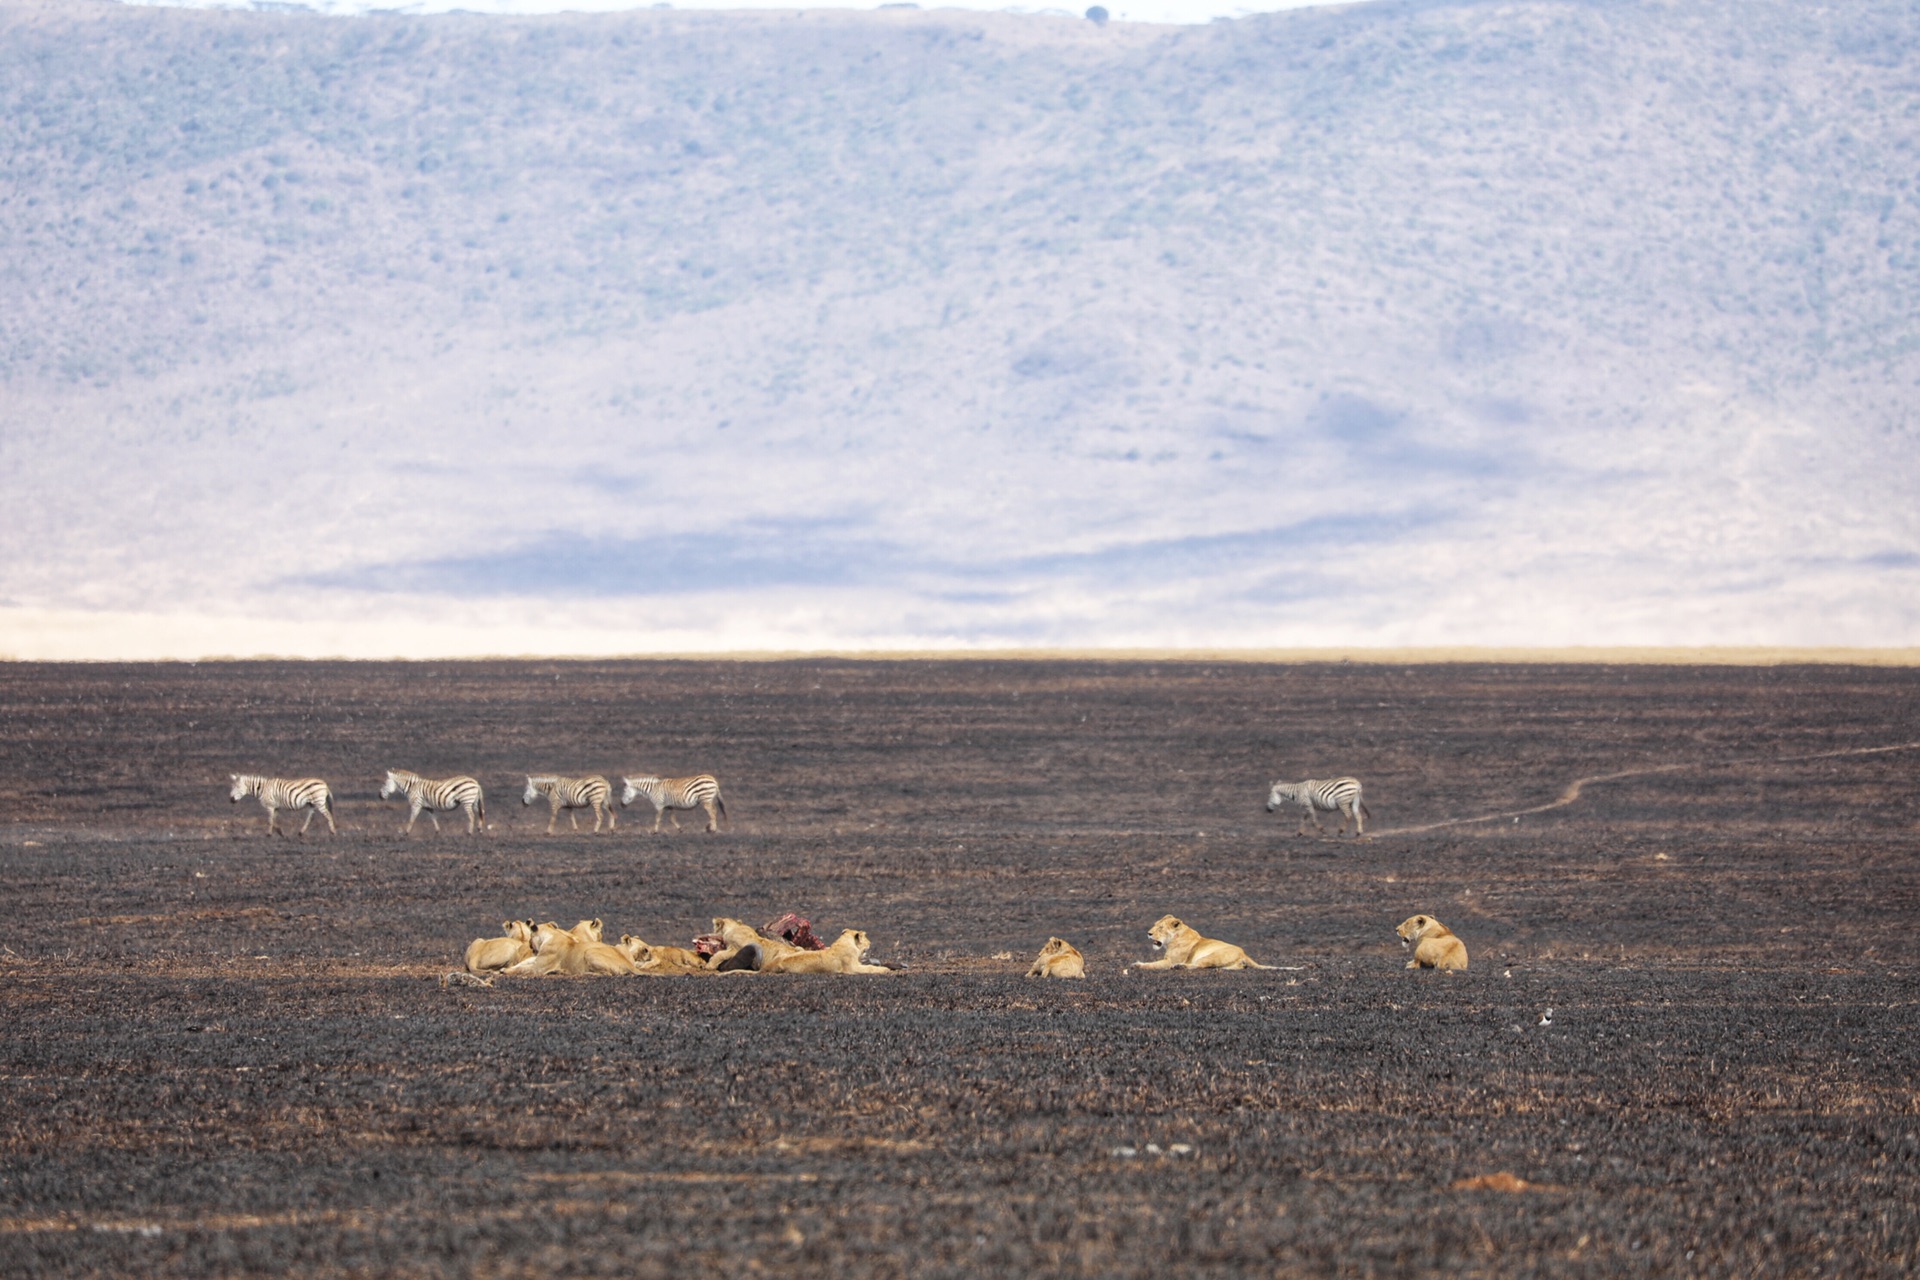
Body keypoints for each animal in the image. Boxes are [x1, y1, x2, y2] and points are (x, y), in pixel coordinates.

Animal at [752, 924, 894, 974]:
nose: (870, 943)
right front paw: (885, 969)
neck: (844, 942)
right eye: (867, 939)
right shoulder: (852, 968)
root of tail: (768, 966)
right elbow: (870, 968)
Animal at [1121, 909, 1274, 971]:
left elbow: (1153, 964)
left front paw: (1137, 965)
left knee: (1199, 965)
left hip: (1212, 955)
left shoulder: (1170, 961)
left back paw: (1180, 967)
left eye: (1160, 928)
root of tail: (1244, 953)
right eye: (1155, 924)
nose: (1149, 933)